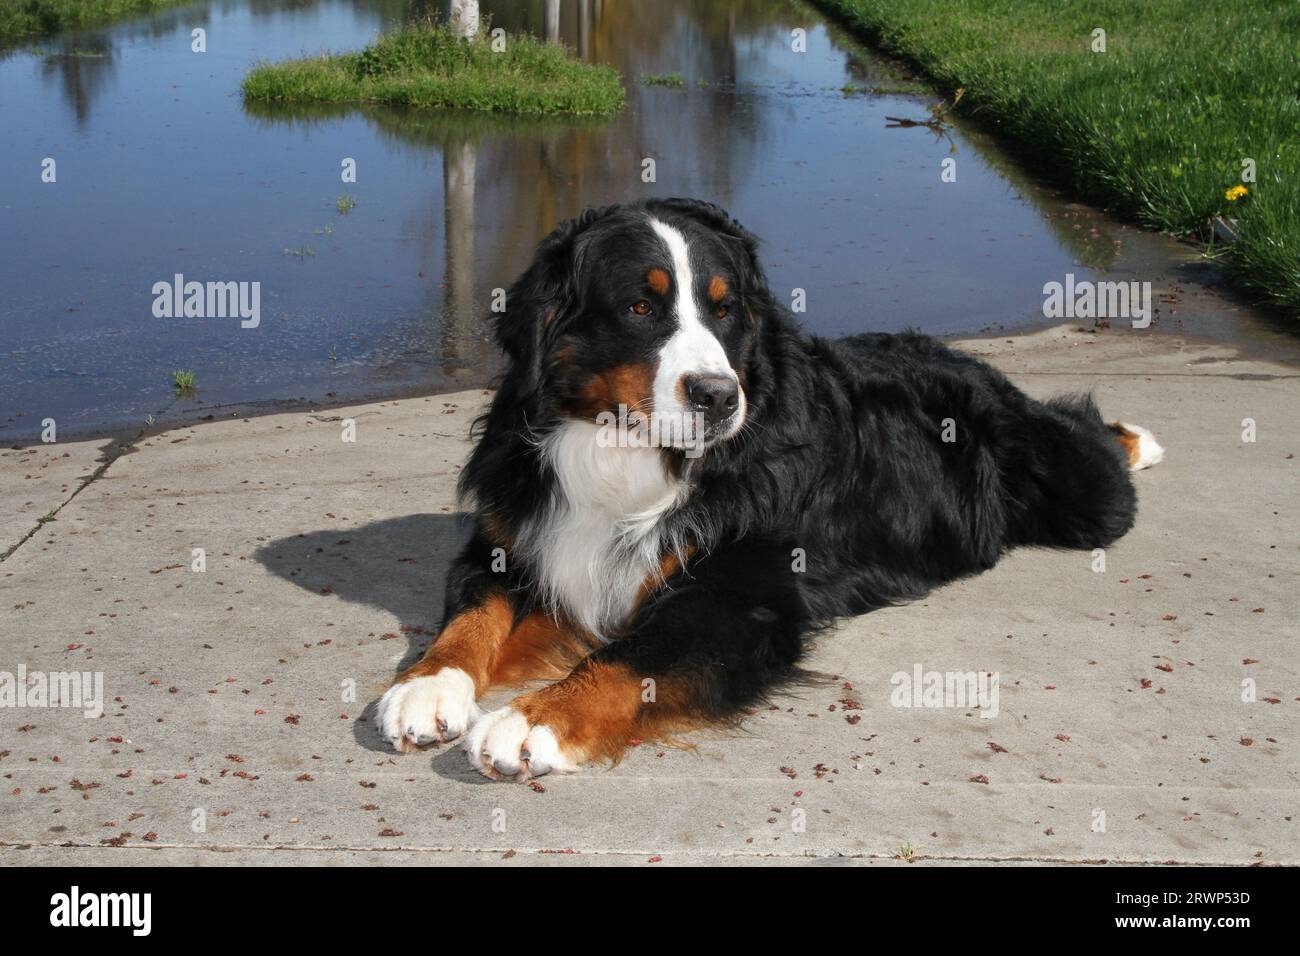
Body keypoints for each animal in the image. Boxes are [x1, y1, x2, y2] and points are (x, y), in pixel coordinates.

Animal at [371, 197, 1164, 780]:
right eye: (639, 308)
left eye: (724, 310)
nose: (719, 396)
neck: (625, 454)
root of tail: (962, 360)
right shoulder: (520, 539)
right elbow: (474, 611)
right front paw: (426, 686)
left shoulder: (736, 597)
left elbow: (632, 655)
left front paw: (531, 720)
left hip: (1083, 495)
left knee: (1091, 441)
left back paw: (1138, 438)